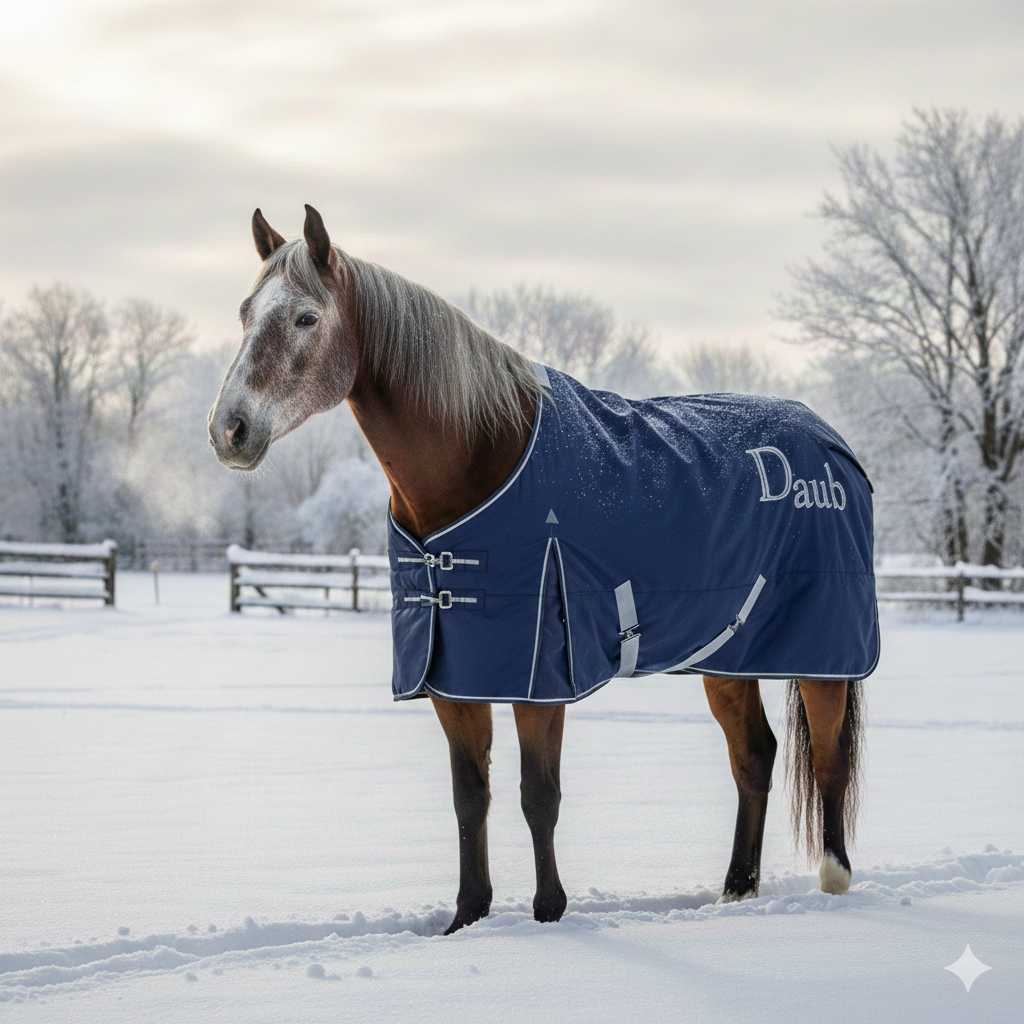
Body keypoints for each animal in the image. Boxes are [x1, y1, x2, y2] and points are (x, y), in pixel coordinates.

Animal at [209, 204, 870, 934]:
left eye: (306, 318)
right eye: (245, 312)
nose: (229, 430)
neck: (480, 457)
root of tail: (829, 440)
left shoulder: (539, 677)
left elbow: (538, 795)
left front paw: (549, 914)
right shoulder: (456, 678)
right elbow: (470, 796)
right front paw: (467, 917)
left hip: (823, 650)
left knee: (829, 755)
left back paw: (833, 879)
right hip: (726, 655)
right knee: (754, 756)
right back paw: (736, 889)